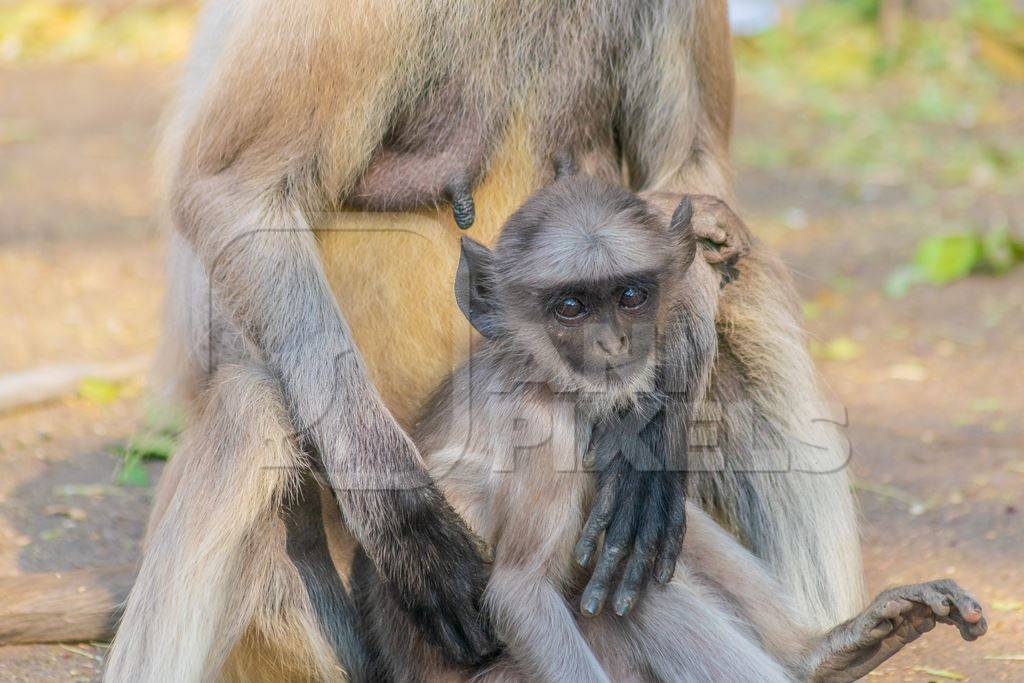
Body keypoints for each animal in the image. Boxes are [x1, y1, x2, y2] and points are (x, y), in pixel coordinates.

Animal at [0, 1, 860, 683]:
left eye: (623, 297)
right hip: (324, 630)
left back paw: (823, 648)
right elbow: (232, 187)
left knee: (737, 265)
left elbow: (689, 178)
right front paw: (408, 519)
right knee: (251, 399)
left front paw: (648, 441)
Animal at [352, 178, 983, 683]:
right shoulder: (542, 428)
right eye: (570, 307)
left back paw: (820, 655)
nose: (613, 343)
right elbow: (518, 594)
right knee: (630, 603)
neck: (544, 376)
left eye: (631, 296)